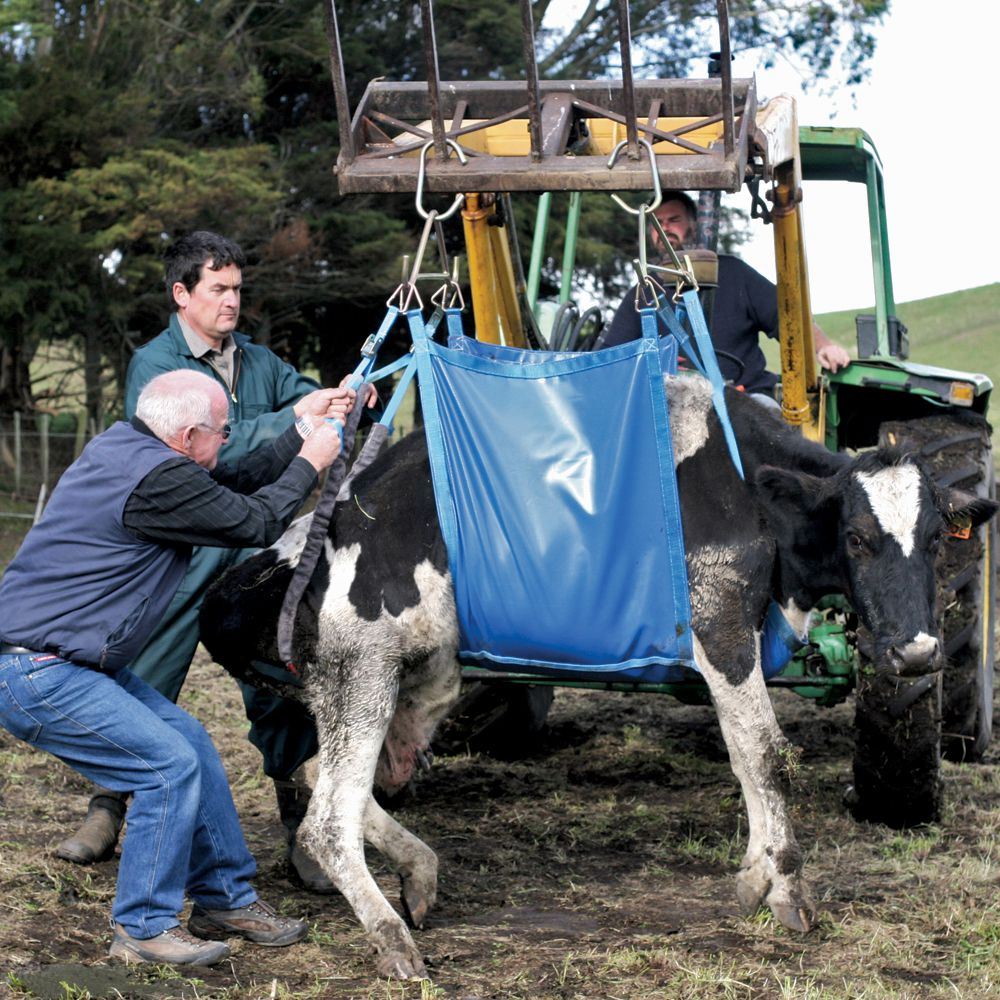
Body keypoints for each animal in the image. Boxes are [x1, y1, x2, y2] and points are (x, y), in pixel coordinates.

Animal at [201, 375, 996, 980]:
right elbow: (766, 756)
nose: (918, 654)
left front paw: (753, 875)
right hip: (362, 674)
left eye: (938, 540)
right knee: (328, 816)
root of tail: (283, 554)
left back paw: (419, 873)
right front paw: (787, 891)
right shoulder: (720, 631)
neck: (748, 488)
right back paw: (393, 941)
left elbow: (747, 759)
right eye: (857, 539)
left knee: (322, 781)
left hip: (415, 680)